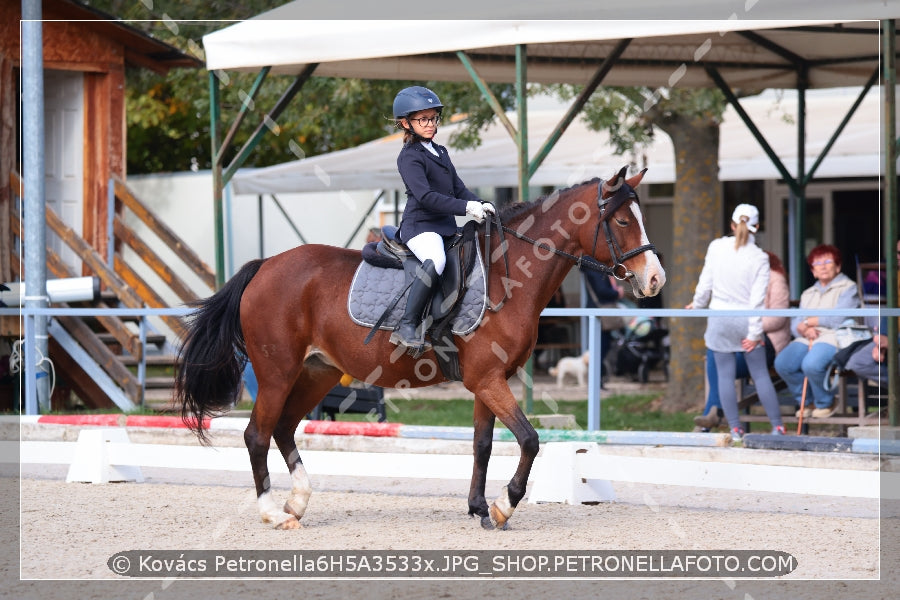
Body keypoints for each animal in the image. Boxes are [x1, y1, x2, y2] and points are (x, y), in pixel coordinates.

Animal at [178, 165, 668, 528]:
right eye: (623, 221)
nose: (655, 280)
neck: (507, 275)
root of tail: (264, 266)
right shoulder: (487, 379)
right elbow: (529, 439)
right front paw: (503, 505)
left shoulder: (488, 380)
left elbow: (483, 443)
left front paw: (478, 507)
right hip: (277, 373)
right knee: (257, 434)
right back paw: (271, 513)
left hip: (316, 372)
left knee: (282, 428)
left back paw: (298, 503)